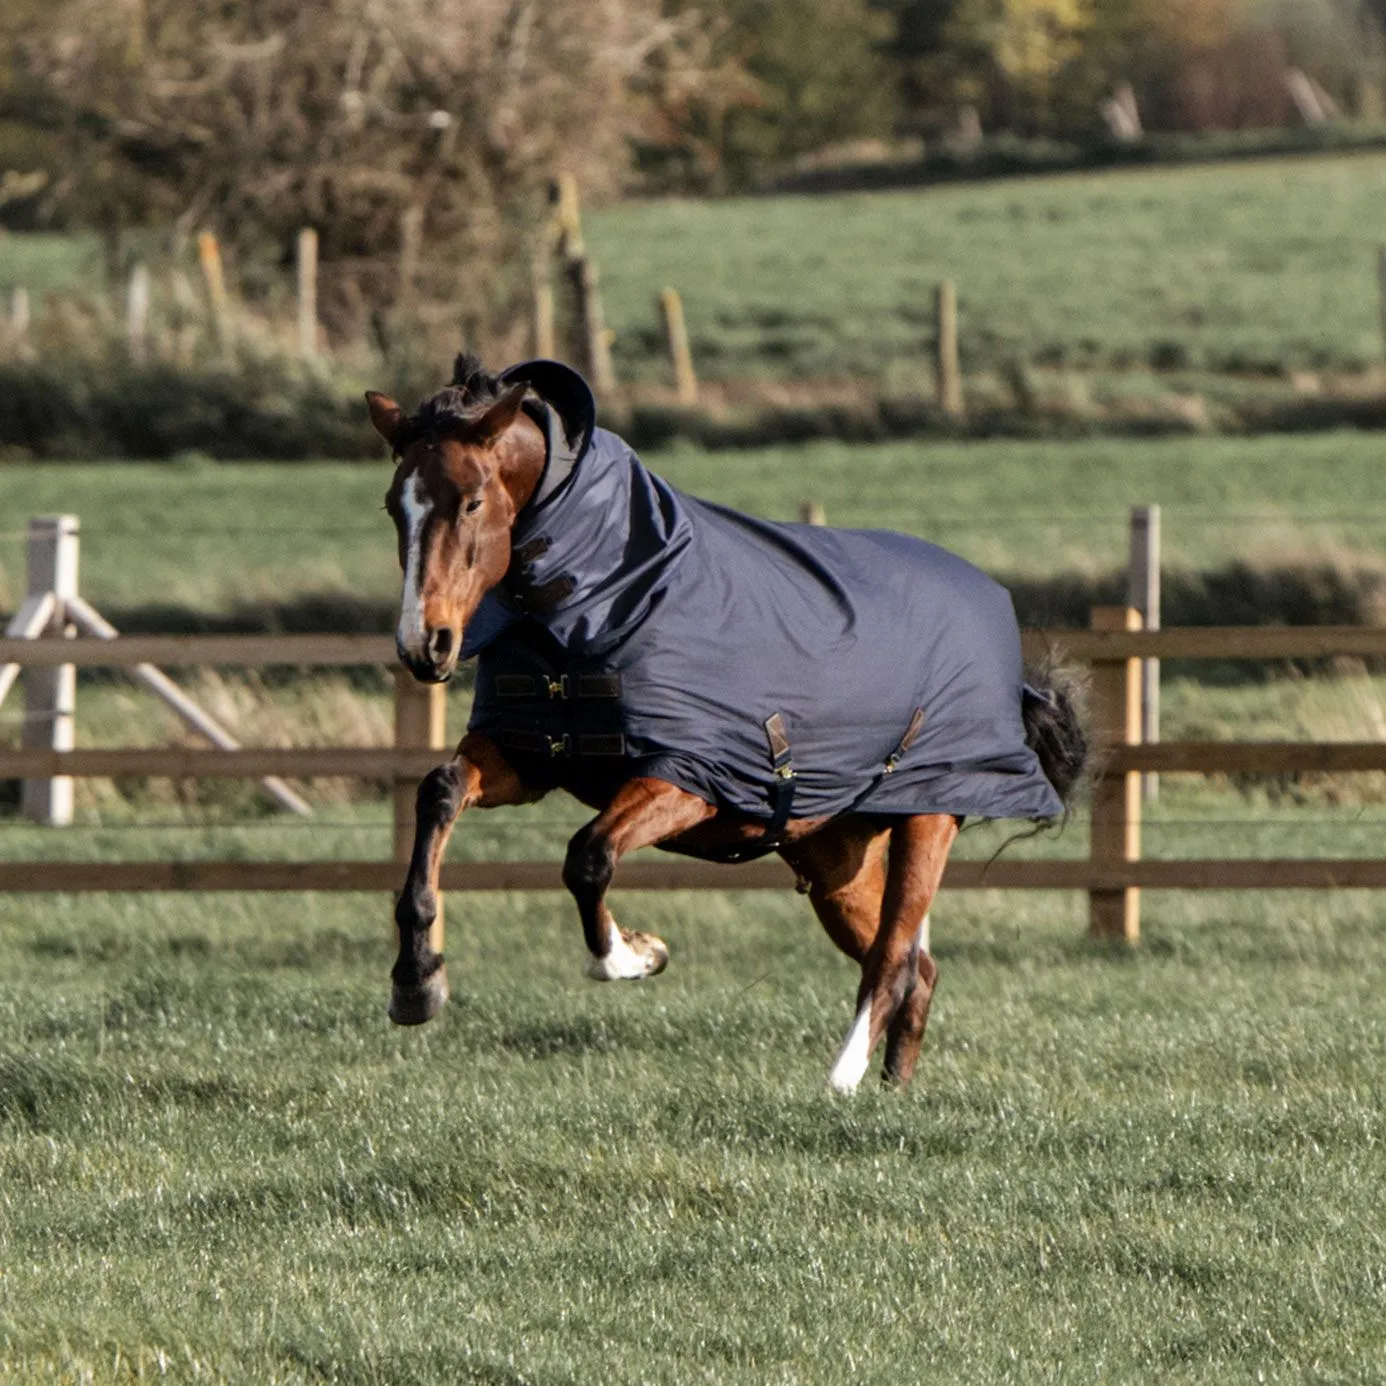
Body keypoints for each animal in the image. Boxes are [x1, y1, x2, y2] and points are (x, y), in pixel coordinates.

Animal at [365, 354, 1081, 1092]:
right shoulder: (528, 753)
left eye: (472, 501)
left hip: (927, 821)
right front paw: (417, 982)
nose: (425, 645)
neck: (609, 592)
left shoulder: (690, 777)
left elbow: (588, 856)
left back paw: (840, 1082)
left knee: (892, 960)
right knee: (918, 969)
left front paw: (635, 954)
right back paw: (891, 1088)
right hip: (835, 858)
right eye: (395, 505)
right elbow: (440, 792)